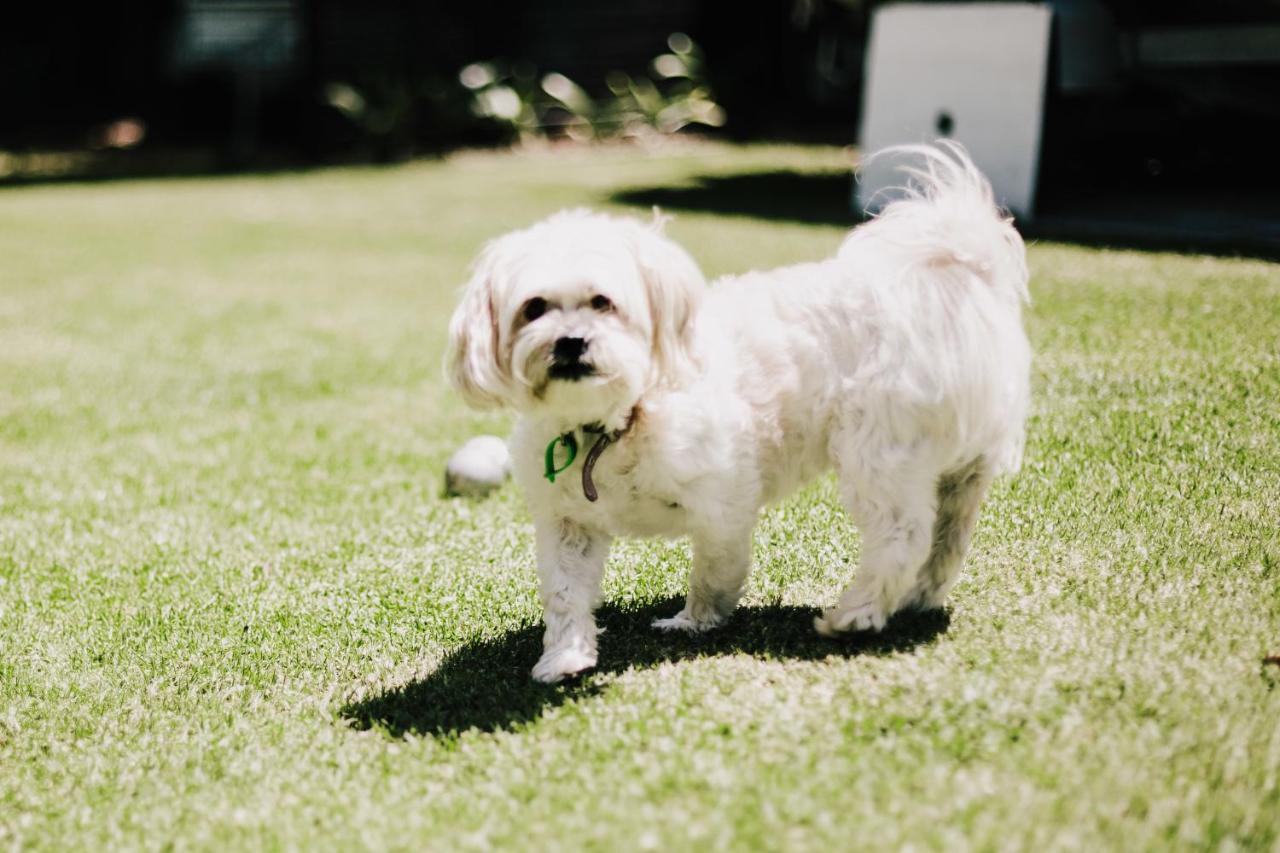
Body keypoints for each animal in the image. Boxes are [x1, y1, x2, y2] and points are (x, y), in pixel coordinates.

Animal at [448, 142, 1029, 681]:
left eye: (602, 303)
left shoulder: (723, 500)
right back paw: (916, 597)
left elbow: (713, 569)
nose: (570, 342)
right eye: (534, 309)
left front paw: (695, 621)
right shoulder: (568, 524)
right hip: (958, 469)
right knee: (947, 536)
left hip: (879, 450)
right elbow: (565, 593)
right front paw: (564, 657)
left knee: (902, 535)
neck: (624, 417)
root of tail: (955, 275)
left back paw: (856, 613)